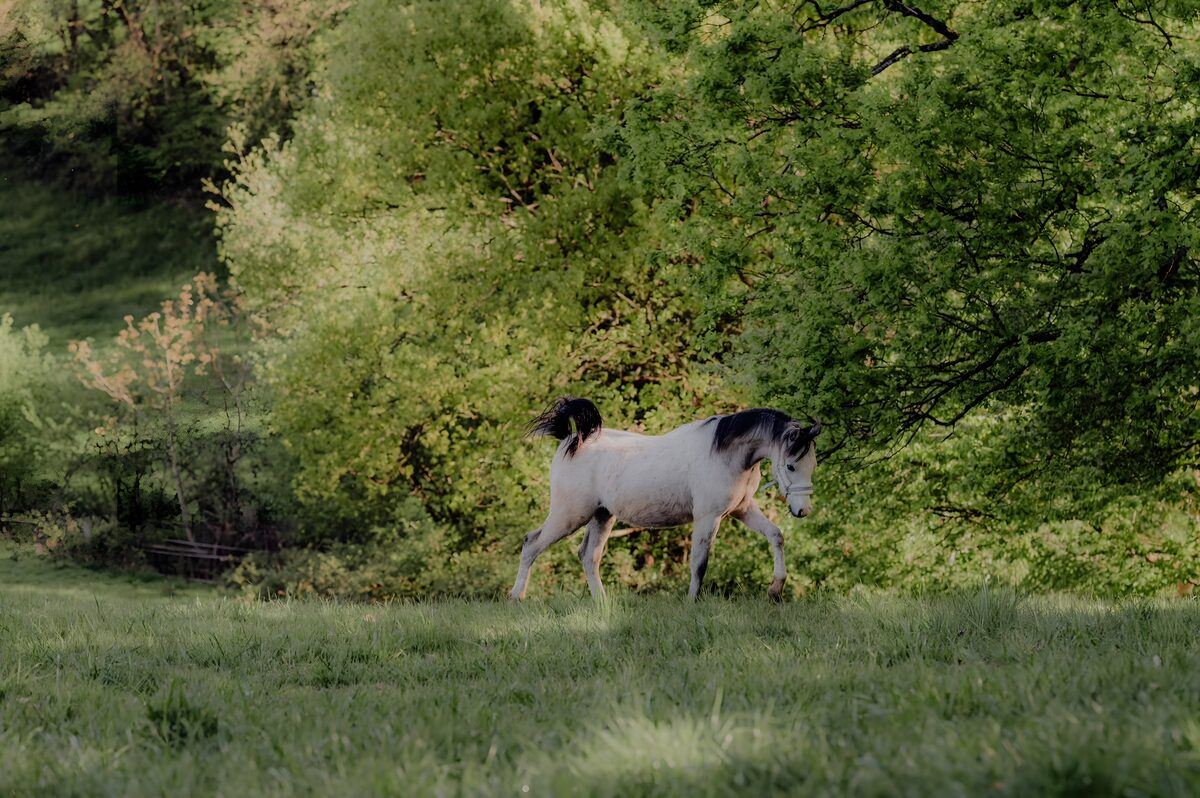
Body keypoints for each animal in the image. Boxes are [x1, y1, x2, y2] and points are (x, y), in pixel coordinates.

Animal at [510, 397, 821, 602]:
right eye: (791, 466)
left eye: (812, 465)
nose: (803, 510)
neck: (725, 452)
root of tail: (574, 440)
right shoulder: (708, 517)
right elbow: (699, 562)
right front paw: (692, 602)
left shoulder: (741, 510)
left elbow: (776, 535)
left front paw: (776, 590)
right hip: (569, 516)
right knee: (531, 544)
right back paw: (516, 597)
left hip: (602, 516)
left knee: (589, 555)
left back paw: (602, 604)